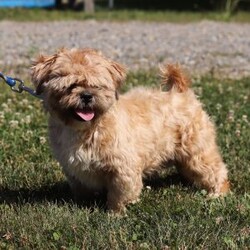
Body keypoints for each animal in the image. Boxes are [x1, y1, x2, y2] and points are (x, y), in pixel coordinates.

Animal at [31, 47, 230, 212]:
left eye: (97, 86)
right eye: (70, 86)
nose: (87, 95)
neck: (87, 129)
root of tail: (180, 91)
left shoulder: (122, 167)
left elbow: (119, 193)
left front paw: (115, 213)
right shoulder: (74, 168)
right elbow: (81, 189)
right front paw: (81, 205)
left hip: (197, 151)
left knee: (215, 170)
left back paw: (217, 193)